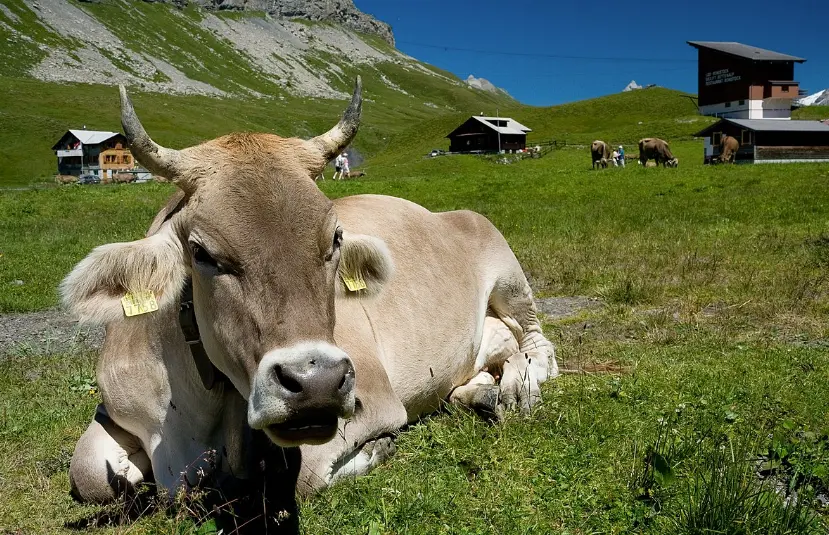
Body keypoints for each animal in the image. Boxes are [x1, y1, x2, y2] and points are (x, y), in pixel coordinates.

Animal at [62, 77, 557, 528]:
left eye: (335, 239)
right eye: (202, 253)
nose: (316, 383)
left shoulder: (371, 397)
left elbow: (306, 477)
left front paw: (377, 447)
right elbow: (88, 474)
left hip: (507, 271)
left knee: (538, 346)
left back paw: (519, 386)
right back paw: (485, 392)